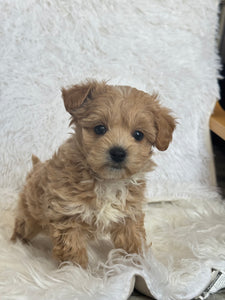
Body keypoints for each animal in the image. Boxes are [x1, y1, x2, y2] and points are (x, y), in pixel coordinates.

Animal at [11, 79, 176, 268]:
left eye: (138, 134)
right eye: (99, 128)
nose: (118, 152)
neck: (107, 181)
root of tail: (36, 167)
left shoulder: (128, 215)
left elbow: (133, 241)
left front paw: (139, 264)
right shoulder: (68, 216)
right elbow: (73, 253)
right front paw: (77, 272)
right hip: (30, 216)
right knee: (22, 226)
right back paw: (16, 244)